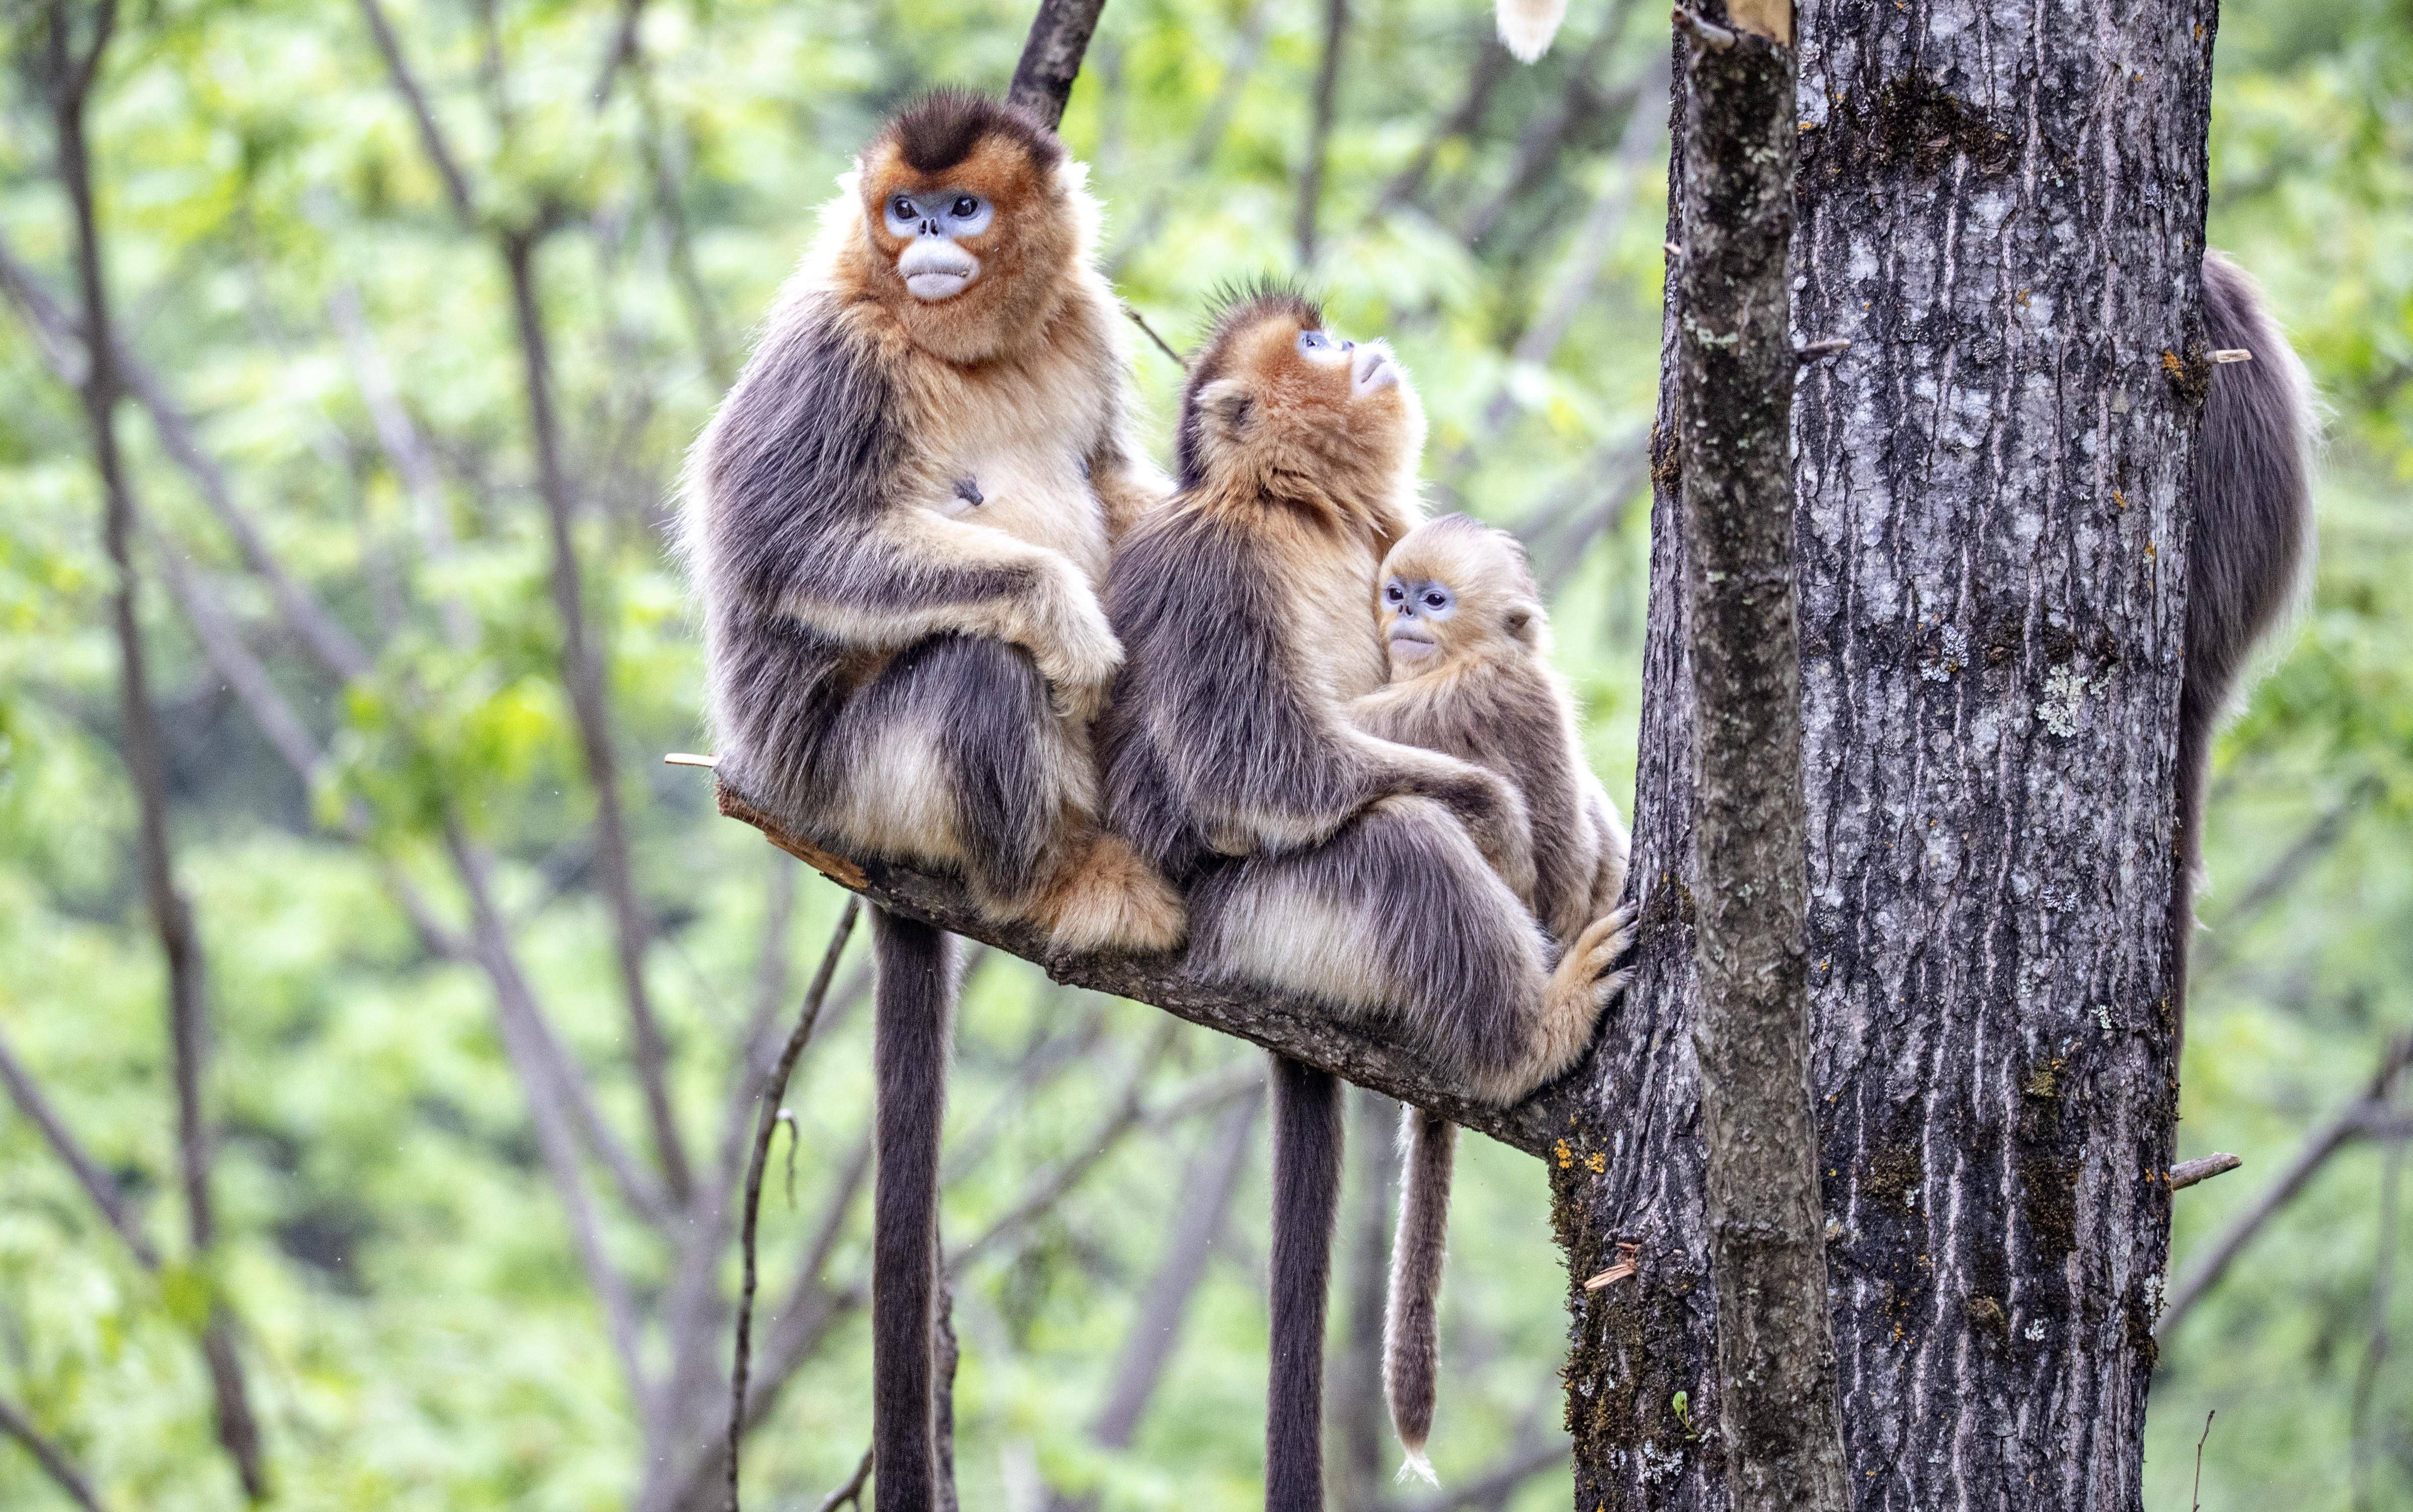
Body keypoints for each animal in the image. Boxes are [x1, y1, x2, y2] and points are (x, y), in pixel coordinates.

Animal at [680, 94, 1177, 1512]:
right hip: (854, 780)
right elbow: (788, 545)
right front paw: (1062, 608)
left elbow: (1113, 483)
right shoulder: (834, 344)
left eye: (962, 209)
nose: (926, 243)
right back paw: (1051, 876)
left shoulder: (1085, 320)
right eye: (903, 211)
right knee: (974, 666)